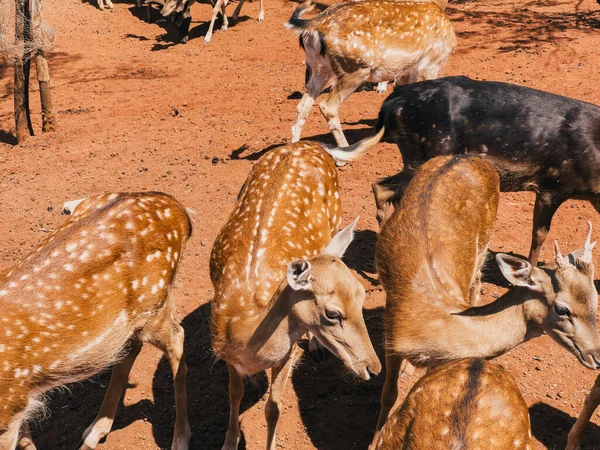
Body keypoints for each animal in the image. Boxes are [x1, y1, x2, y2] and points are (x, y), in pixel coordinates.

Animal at [0, 192, 191, 450]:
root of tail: (178, 209)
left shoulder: (10, 404)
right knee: (128, 351)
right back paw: (94, 432)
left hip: (155, 303)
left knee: (177, 339)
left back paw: (180, 438)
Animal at [209, 138, 382, 450]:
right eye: (332, 313)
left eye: (364, 296)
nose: (374, 368)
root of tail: (309, 144)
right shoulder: (225, 354)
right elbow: (234, 393)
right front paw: (229, 442)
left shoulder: (287, 353)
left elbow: (273, 408)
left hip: (335, 217)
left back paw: (315, 347)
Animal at [288, 0, 458, 148]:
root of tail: (313, 26)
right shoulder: (431, 63)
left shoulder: (406, 71)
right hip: (355, 68)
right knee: (328, 106)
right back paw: (345, 152)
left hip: (319, 69)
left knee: (302, 106)